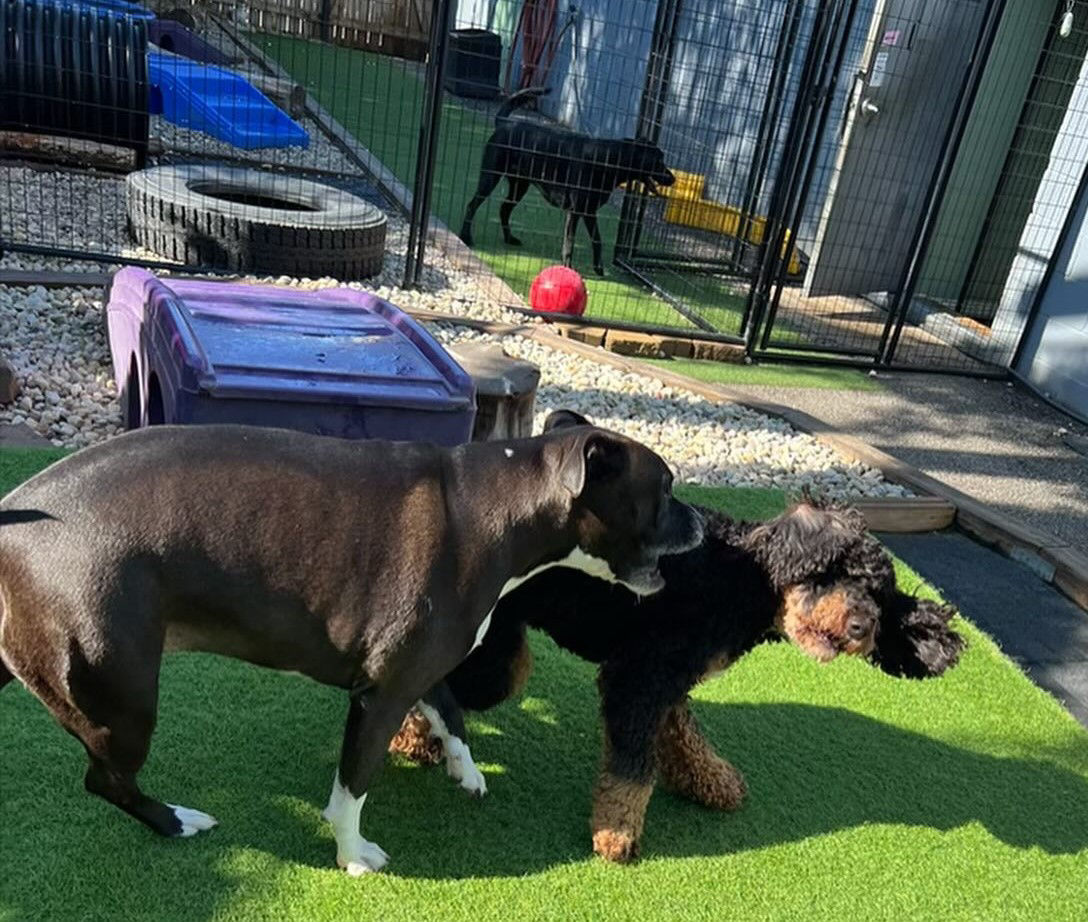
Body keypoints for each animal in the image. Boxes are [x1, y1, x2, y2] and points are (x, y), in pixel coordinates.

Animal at [387, 411, 966, 866]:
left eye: (879, 597)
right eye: (837, 573)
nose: (860, 628)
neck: (740, 576)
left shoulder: (669, 677)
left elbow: (684, 737)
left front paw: (714, 783)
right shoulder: (638, 678)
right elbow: (633, 767)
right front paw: (617, 834)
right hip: (500, 658)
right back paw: (412, 740)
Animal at [456, 87, 670, 275]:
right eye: (659, 161)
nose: (672, 178)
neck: (607, 160)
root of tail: (503, 123)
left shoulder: (589, 212)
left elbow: (597, 240)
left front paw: (598, 268)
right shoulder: (574, 212)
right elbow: (569, 243)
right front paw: (567, 268)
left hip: (519, 186)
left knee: (504, 209)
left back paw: (509, 238)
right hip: (490, 178)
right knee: (472, 205)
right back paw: (466, 236)